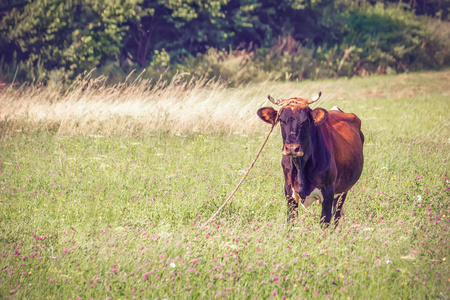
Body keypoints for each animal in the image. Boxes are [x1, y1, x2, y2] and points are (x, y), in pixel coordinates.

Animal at [255, 92, 364, 226]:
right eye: (281, 120)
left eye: (306, 120)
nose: (292, 148)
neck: (300, 166)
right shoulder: (289, 192)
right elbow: (290, 222)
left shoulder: (328, 192)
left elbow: (324, 223)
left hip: (343, 189)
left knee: (337, 215)